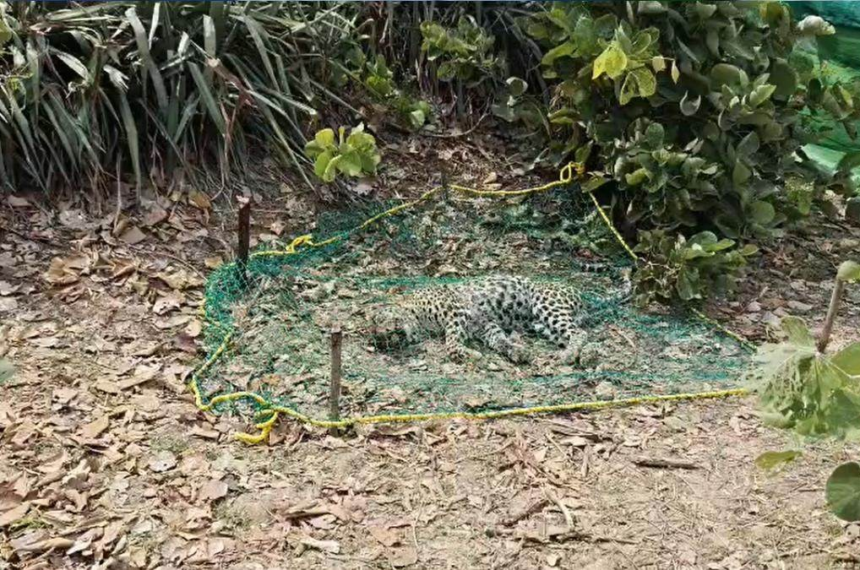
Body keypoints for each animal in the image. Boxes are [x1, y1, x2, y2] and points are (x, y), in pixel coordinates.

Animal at [371, 266, 632, 365]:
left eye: (378, 319)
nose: (385, 337)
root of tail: (583, 295)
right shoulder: (483, 324)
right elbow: (499, 340)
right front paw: (517, 351)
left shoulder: (456, 312)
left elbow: (452, 343)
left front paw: (470, 354)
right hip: (541, 325)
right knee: (573, 334)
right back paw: (576, 353)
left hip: (546, 304)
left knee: (580, 333)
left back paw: (571, 356)